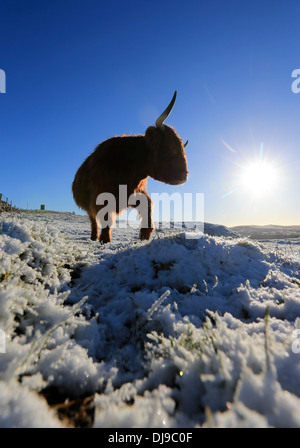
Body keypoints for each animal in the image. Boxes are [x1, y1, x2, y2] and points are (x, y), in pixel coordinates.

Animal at [72, 91, 188, 243]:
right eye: (172, 148)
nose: (184, 176)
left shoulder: (132, 193)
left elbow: (147, 204)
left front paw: (145, 233)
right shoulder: (102, 197)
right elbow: (106, 218)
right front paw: (105, 239)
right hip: (88, 205)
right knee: (92, 219)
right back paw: (93, 236)